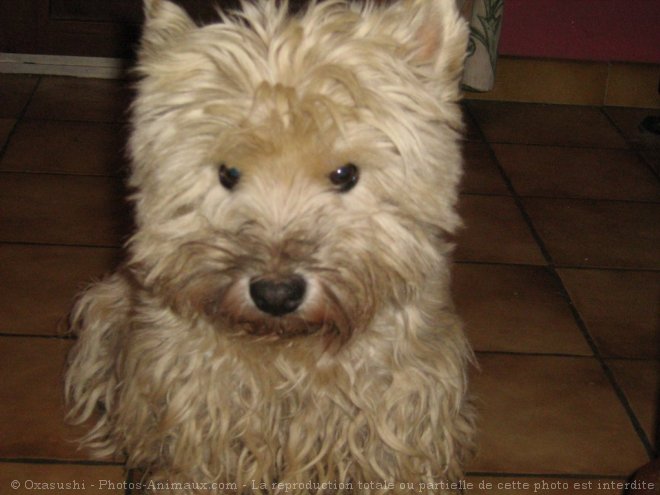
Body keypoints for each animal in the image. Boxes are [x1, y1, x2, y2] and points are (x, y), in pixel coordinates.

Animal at [65, 0, 474, 492]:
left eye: (345, 174)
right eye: (228, 173)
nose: (275, 294)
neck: (290, 348)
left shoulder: (399, 398)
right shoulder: (196, 395)